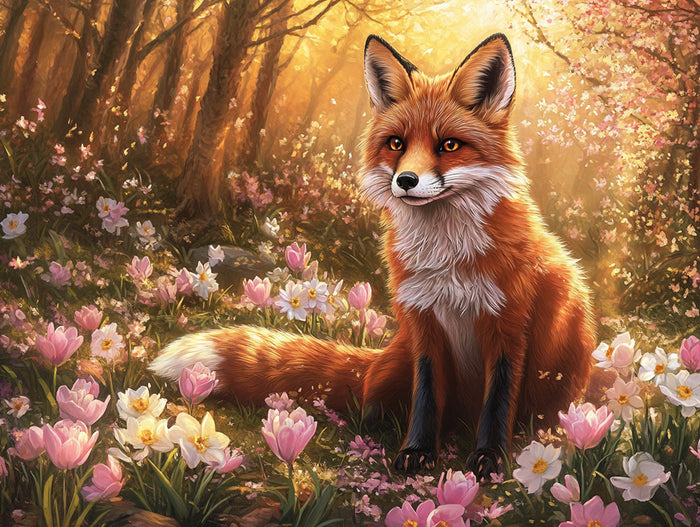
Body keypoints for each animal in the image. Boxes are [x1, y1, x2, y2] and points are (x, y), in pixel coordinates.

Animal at [150, 33, 595, 479]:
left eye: (449, 145)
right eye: (397, 143)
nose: (406, 180)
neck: (446, 261)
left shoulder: (508, 325)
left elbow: (498, 403)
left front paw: (488, 460)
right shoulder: (424, 324)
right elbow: (426, 399)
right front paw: (417, 452)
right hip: (394, 367)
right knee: (373, 403)